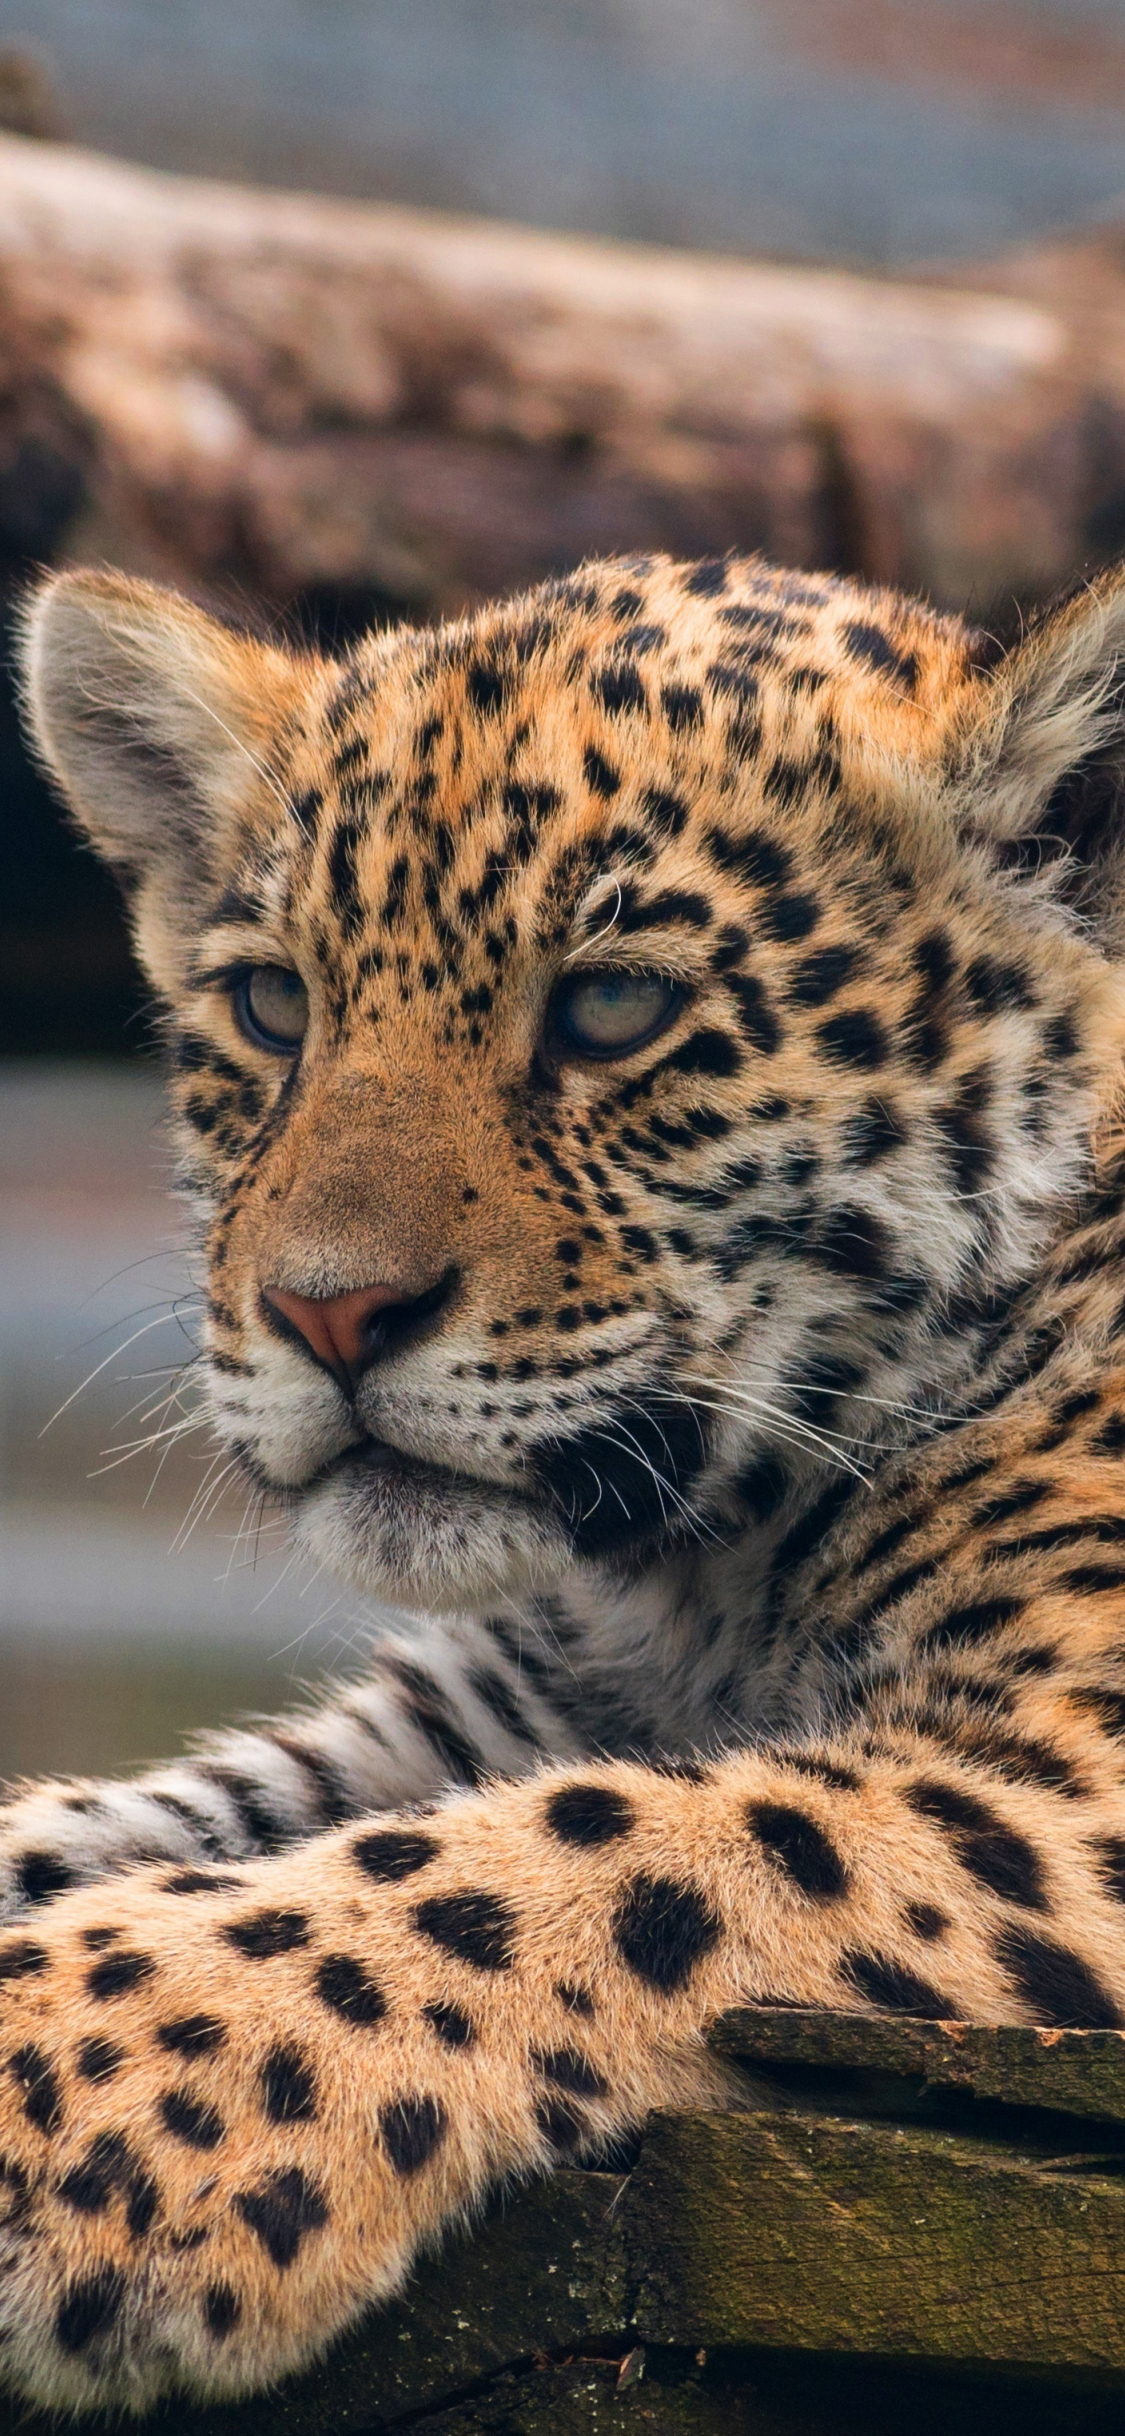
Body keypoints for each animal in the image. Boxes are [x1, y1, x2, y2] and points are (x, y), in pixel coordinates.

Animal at [5, 544, 1125, 2409]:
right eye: (273, 1006)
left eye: (614, 1007)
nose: (327, 1311)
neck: (697, 1575)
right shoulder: (485, 1708)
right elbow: (170, 1818)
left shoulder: (1067, 1771)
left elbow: (581, 1854)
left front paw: (53, 2089)